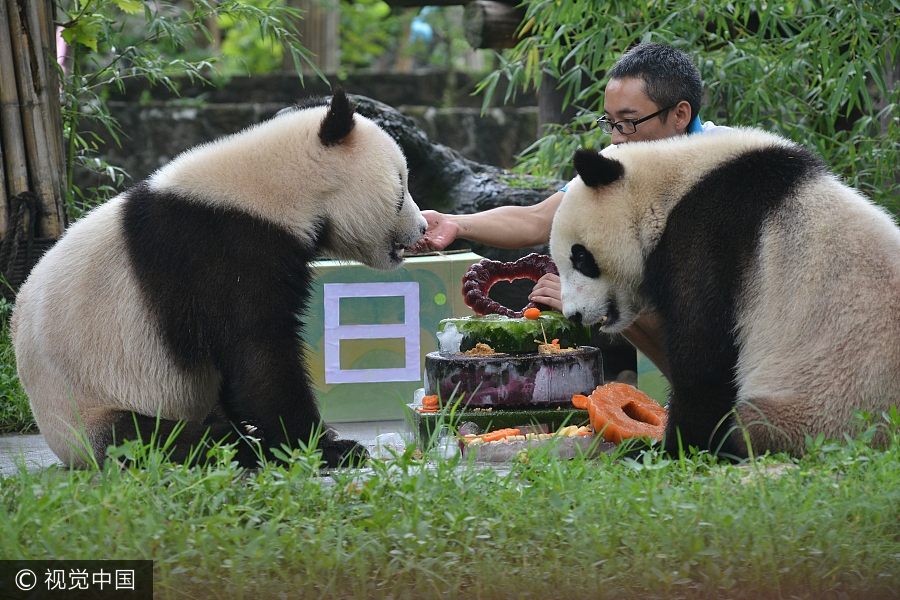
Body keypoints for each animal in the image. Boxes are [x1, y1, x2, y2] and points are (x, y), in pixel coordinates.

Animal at [10, 88, 426, 468]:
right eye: (401, 186)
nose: (422, 228)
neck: (280, 185)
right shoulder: (220, 250)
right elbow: (257, 354)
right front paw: (325, 447)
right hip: (91, 403)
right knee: (152, 440)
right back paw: (241, 441)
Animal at [548, 129, 900, 460]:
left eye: (581, 257)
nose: (574, 314)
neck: (668, 189)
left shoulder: (707, 237)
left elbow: (704, 358)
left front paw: (674, 447)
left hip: (825, 406)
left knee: (756, 424)